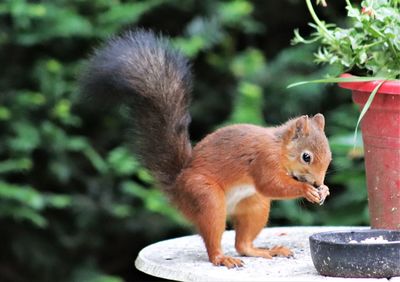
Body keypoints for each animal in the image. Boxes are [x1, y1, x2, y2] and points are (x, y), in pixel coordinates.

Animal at [81, 29, 332, 268]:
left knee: (242, 244)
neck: (279, 147)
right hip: (206, 197)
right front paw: (306, 190)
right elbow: (270, 184)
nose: (318, 183)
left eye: (329, 157)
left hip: (255, 205)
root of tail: (178, 188)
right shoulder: (264, 159)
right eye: (306, 157)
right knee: (214, 234)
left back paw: (265, 251)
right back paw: (221, 258)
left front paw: (324, 190)